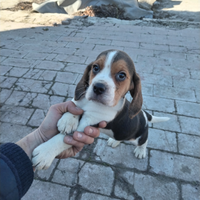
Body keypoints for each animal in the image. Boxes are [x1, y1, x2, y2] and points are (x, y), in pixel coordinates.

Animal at [32, 49, 170, 170]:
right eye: (95, 68)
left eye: (122, 75)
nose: (98, 87)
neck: (94, 104)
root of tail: (145, 115)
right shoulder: (80, 101)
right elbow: (74, 104)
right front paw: (68, 120)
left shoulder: (89, 123)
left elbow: (62, 139)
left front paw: (45, 153)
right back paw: (114, 141)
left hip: (139, 137)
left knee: (144, 141)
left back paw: (140, 151)